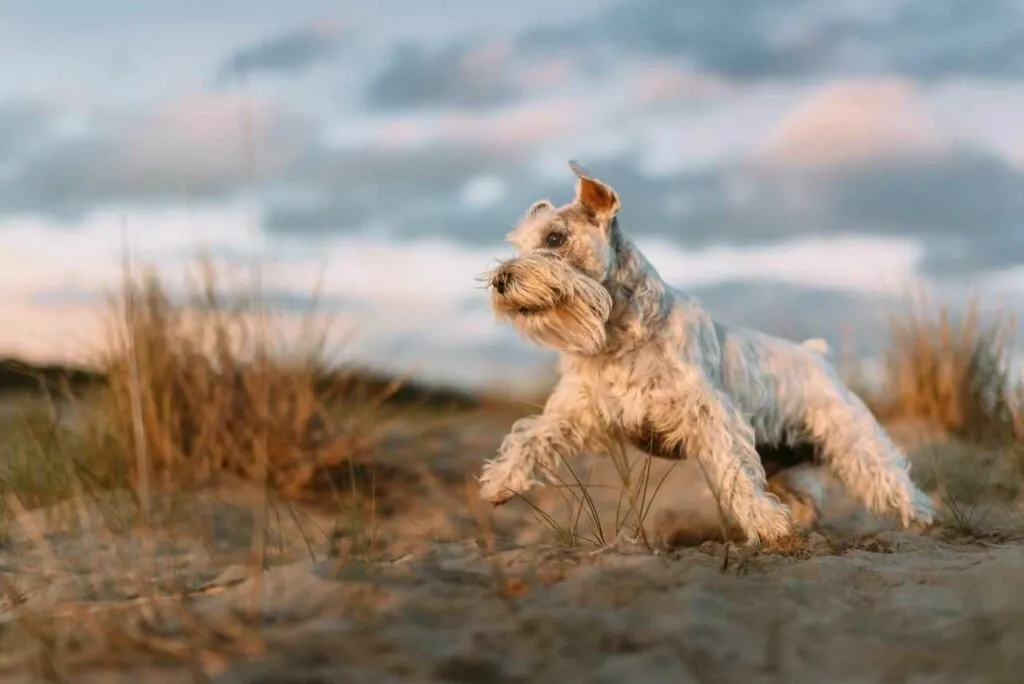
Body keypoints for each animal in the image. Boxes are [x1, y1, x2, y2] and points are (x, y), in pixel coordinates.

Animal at [475, 160, 933, 544]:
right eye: (520, 242)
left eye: (555, 237)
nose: (499, 279)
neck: (618, 338)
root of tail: (816, 355)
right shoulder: (579, 414)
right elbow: (531, 437)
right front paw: (501, 481)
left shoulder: (712, 417)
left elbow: (736, 474)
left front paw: (765, 524)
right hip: (784, 463)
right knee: (811, 496)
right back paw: (803, 525)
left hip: (853, 439)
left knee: (894, 483)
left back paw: (923, 522)